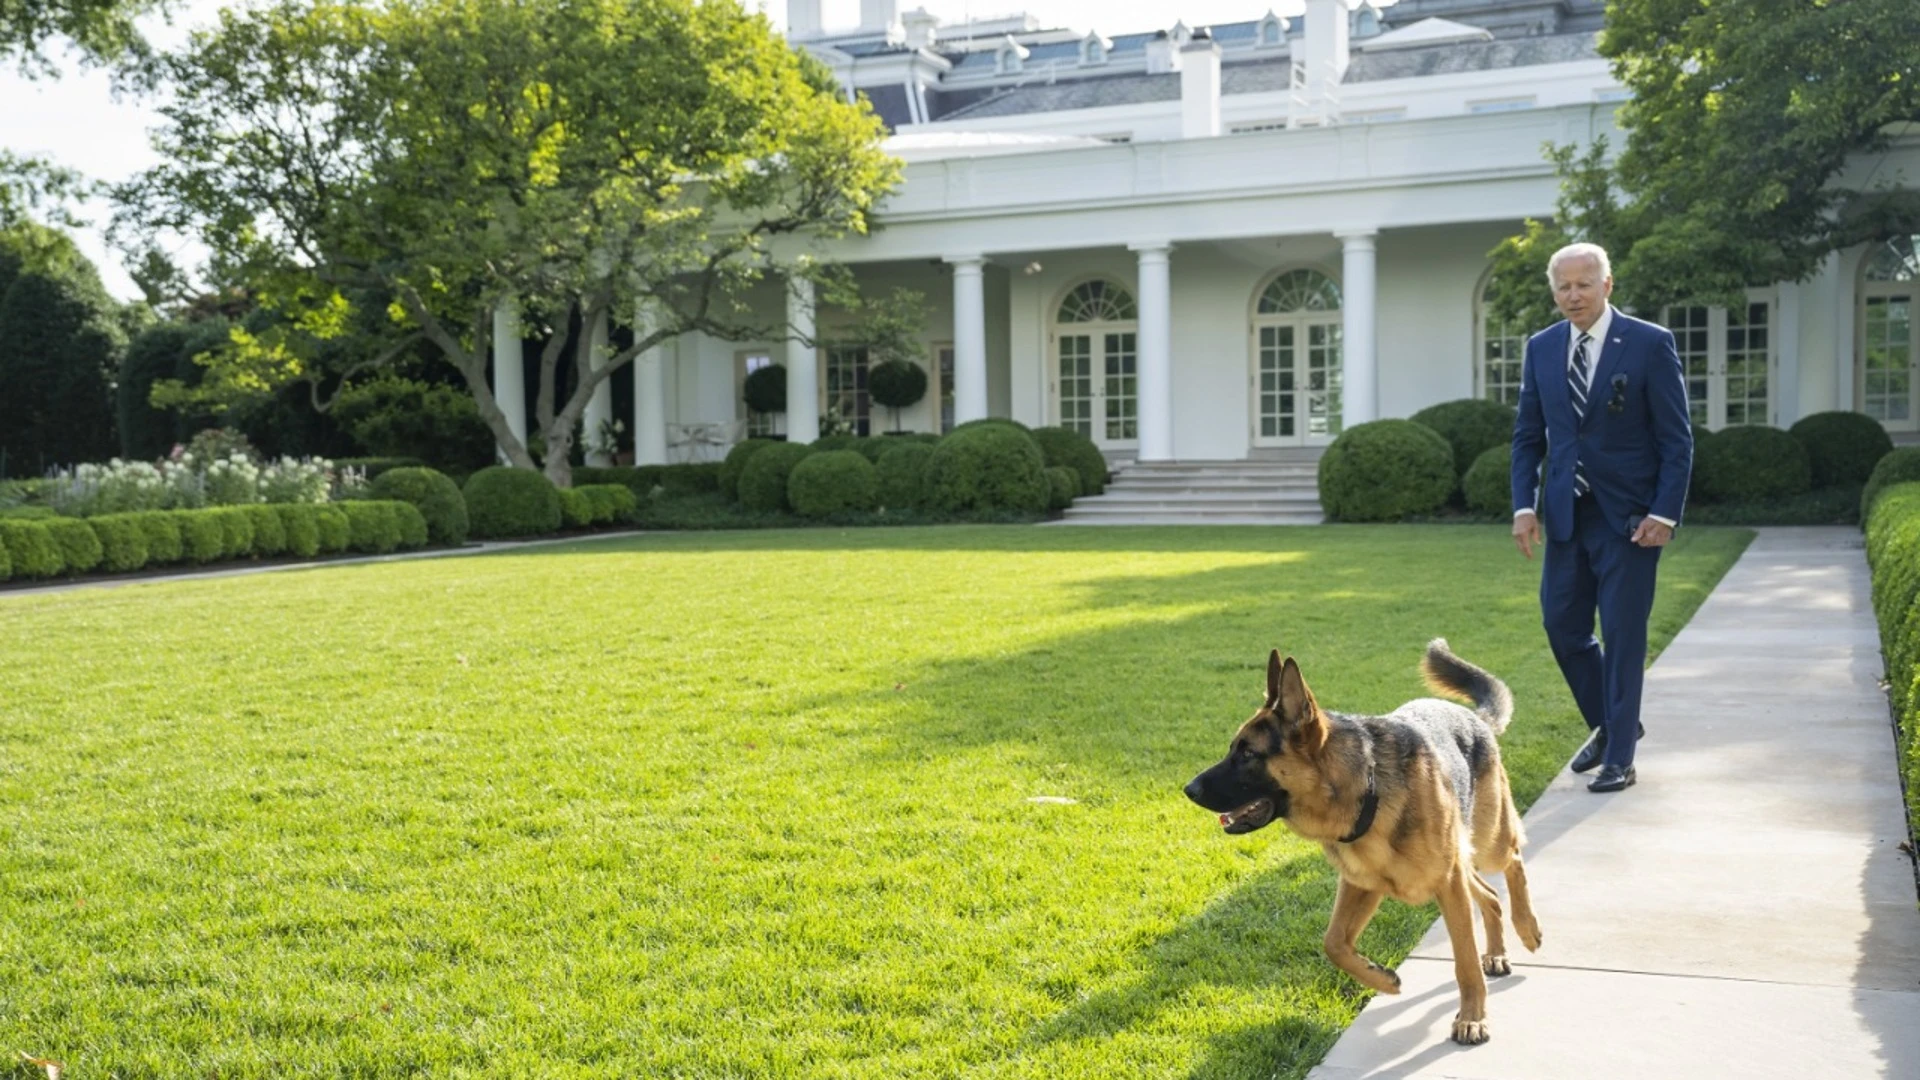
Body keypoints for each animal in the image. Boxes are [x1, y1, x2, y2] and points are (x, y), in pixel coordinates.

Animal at [1182, 638, 1543, 1045]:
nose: (1188, 790)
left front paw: (1472, 1018)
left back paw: (1527, 928)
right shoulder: (1362, 885)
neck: (1364, 790)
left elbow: (1464, 962)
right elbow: (1334, 943)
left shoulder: (1448, 886)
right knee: (1491, 895)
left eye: (1247, 754)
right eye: (1233, 748)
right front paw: (1382, 979)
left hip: (1487, 842)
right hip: (1461, 865)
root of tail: (1475, 719)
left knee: (1514, 861)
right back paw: (1496, 953)